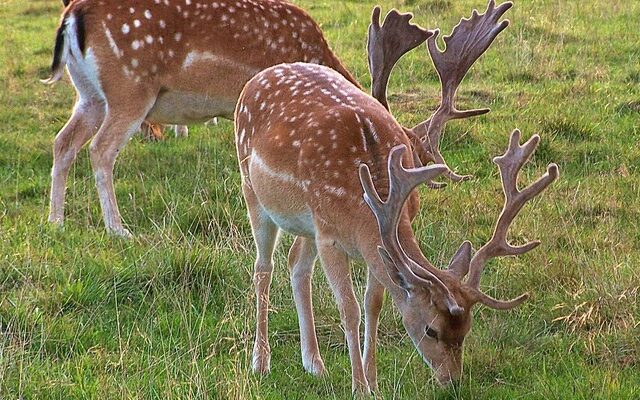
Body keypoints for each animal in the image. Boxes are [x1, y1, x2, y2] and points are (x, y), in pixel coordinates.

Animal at [42, 0, 358, 238]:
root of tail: (73, 14)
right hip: (129, 88)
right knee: (101, 149)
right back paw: (118, 229)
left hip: (90, 96)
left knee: (63, 142)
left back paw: (56, 222)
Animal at [236, 0, 560, 394]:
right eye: (431, 330)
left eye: (467, 329)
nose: (452, 381)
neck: (364, 204)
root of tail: (259, 77)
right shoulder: (329, 236)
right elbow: (349, 309)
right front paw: (359, 387)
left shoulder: (368, 242)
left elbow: (373, 303)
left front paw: (372, 381)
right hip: (253, 191)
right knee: (262, 268)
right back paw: (261, 362)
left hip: (304, 221)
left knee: (296, 263)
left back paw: (314, 364)